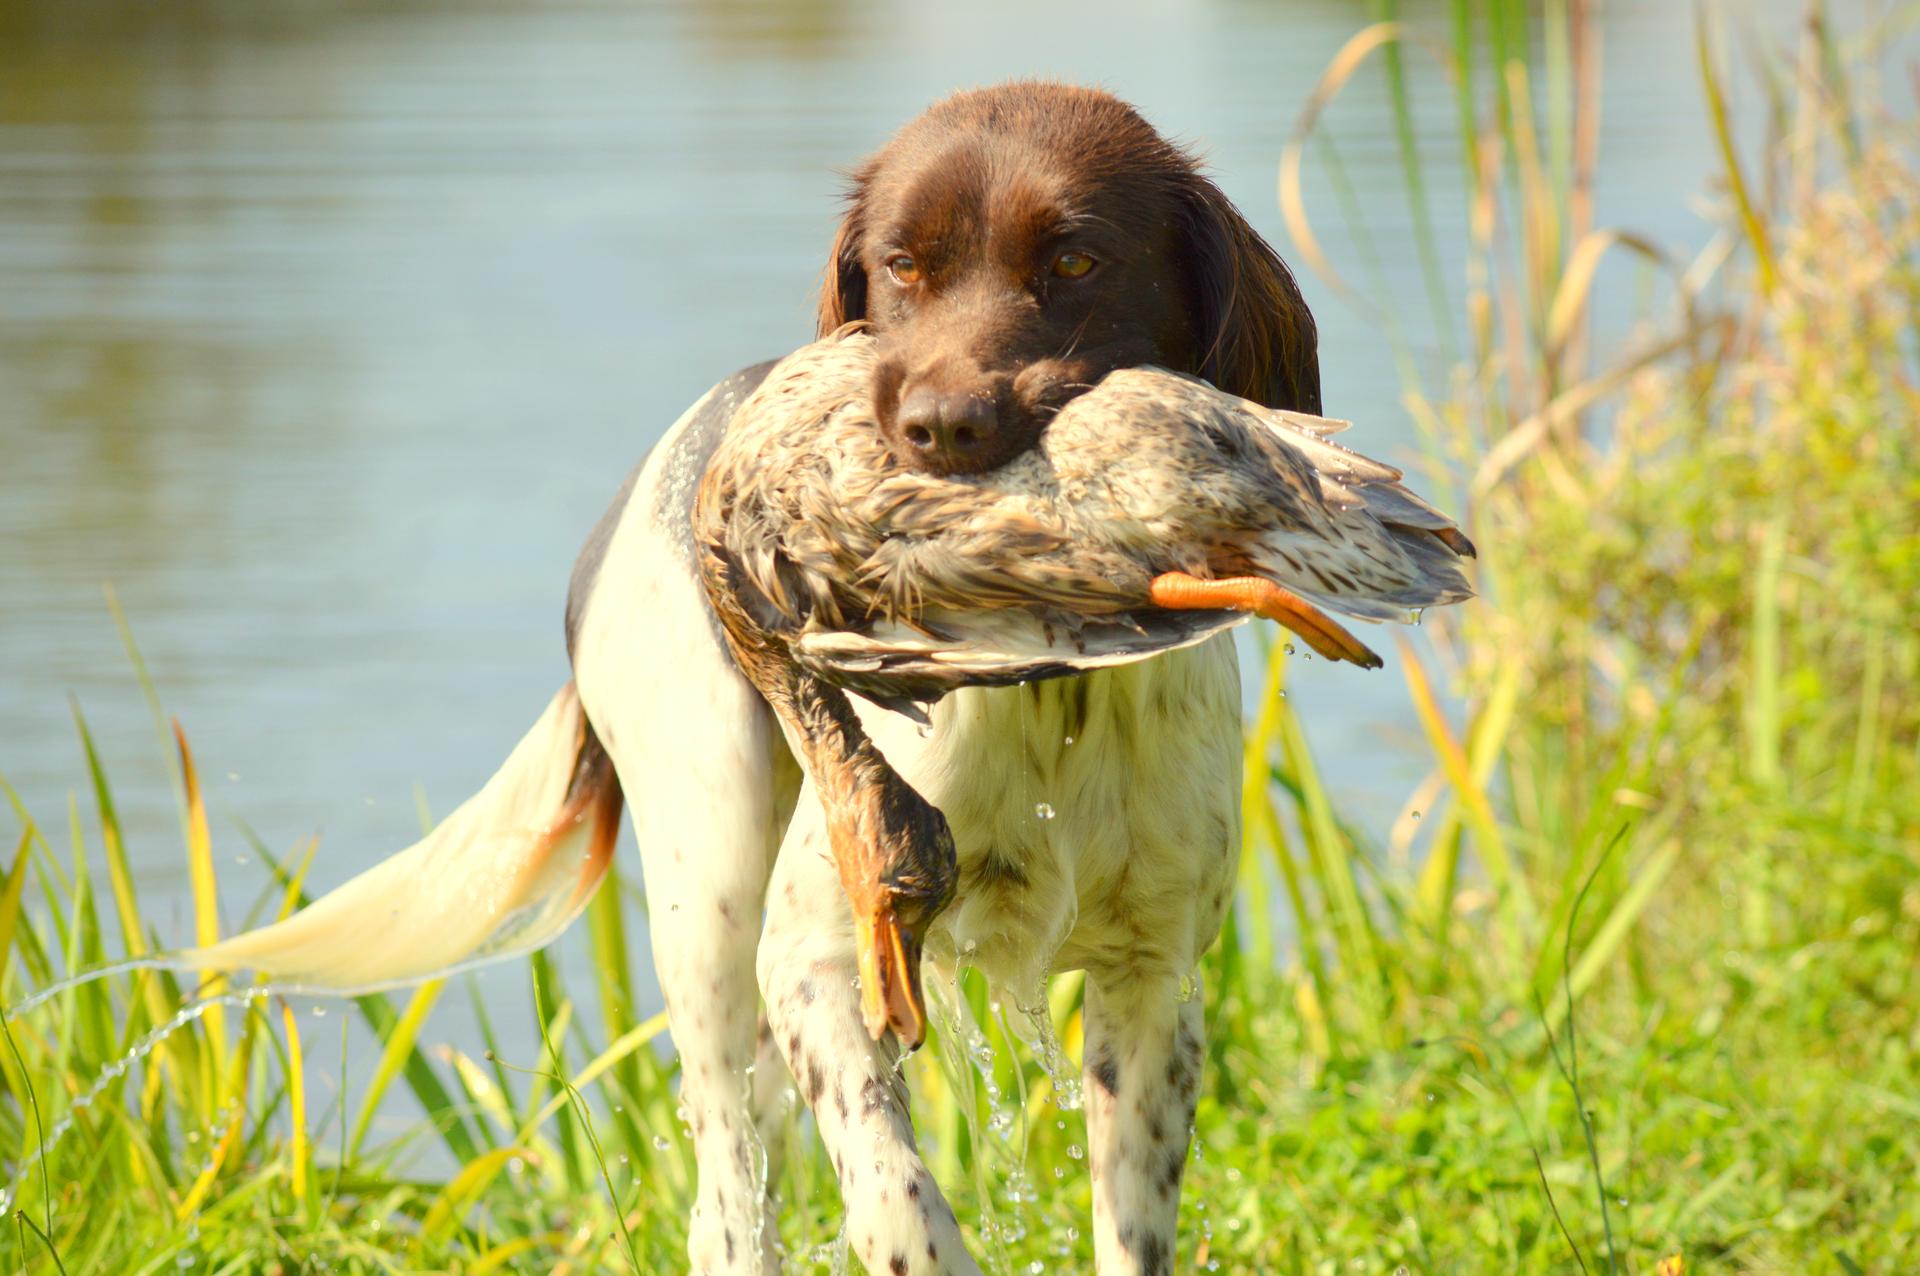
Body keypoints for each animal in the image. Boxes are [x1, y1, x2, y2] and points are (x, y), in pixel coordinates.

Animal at [202, 82, 1328, 1274]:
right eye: (901, 265)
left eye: (1074, 259)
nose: (940, 429)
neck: (1050, 688)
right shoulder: (819, 953)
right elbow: (896, 1201)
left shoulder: (1154, 981)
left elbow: (1129, 1222)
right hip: (713, 900)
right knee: (728, 1192)